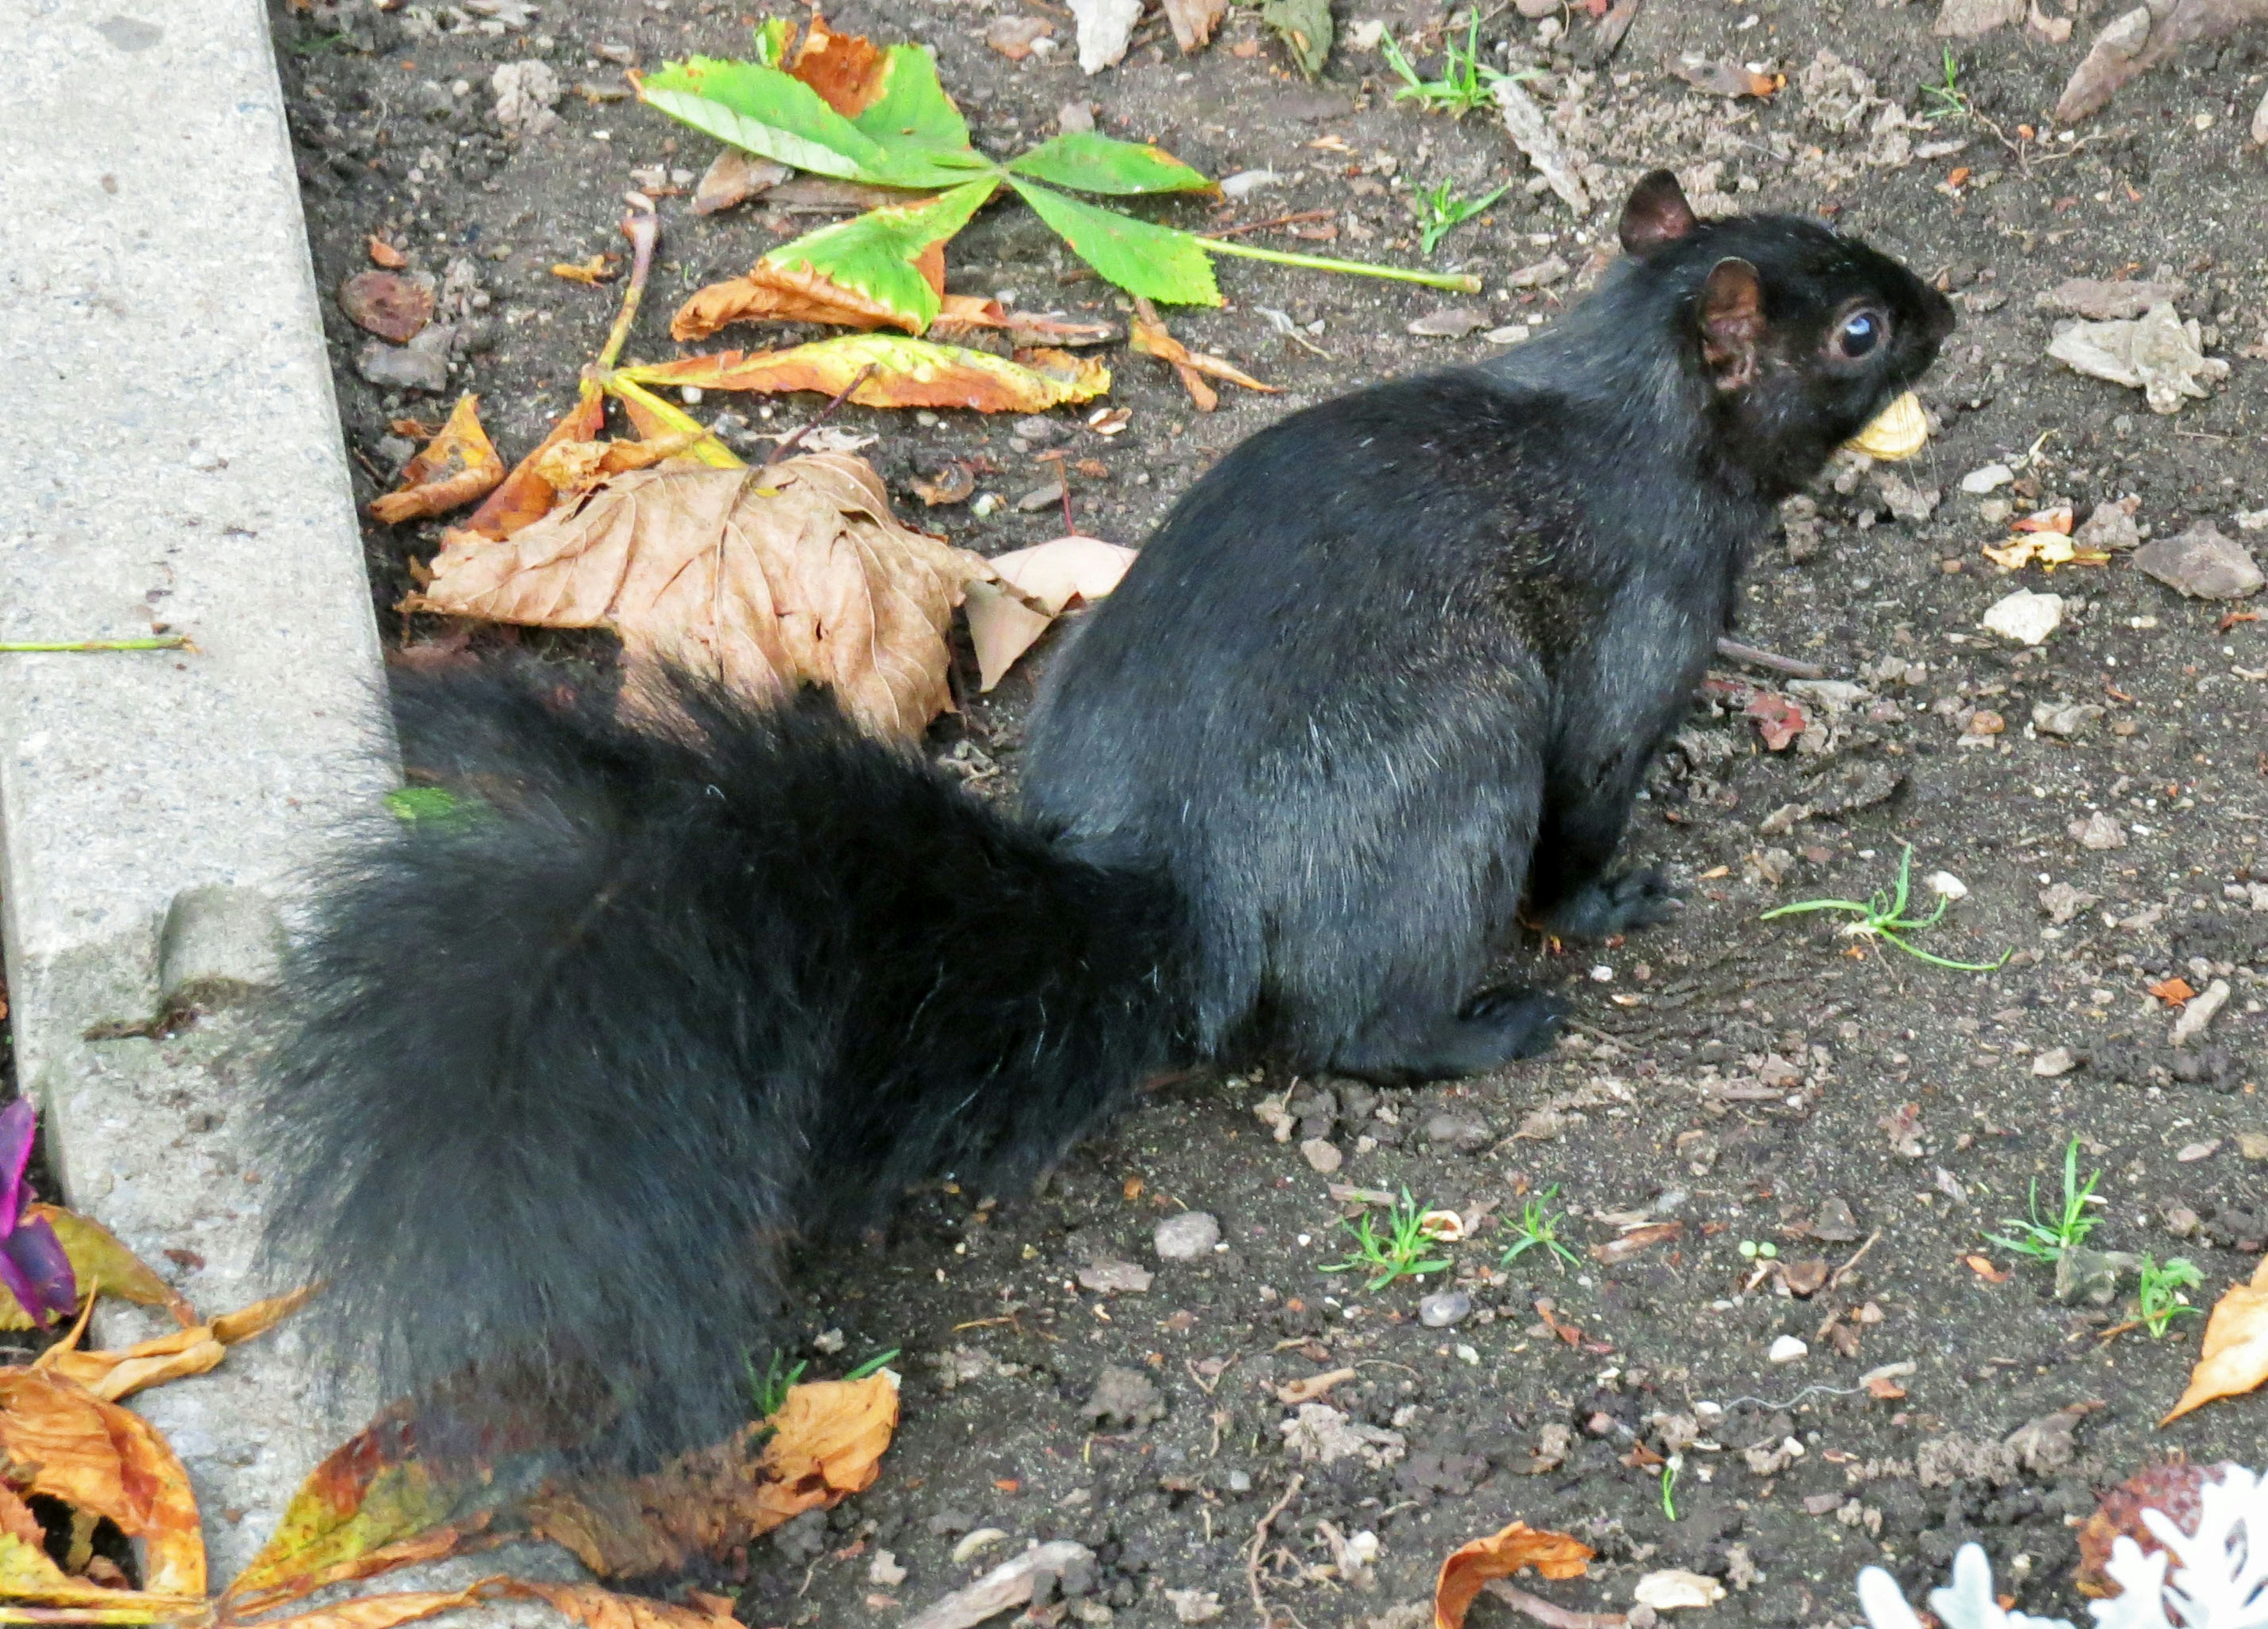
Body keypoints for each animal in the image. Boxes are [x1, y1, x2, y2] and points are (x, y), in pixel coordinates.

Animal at [260, 172, 1950, 1461]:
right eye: (1856, 330)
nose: (1944, 309)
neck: (1627, 406)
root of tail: (1179, 899)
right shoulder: (1640, 619)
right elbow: (1590, 796)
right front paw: (1613, 902)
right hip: (1449, 783)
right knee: (1358, 1024)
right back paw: (1488, 1028)